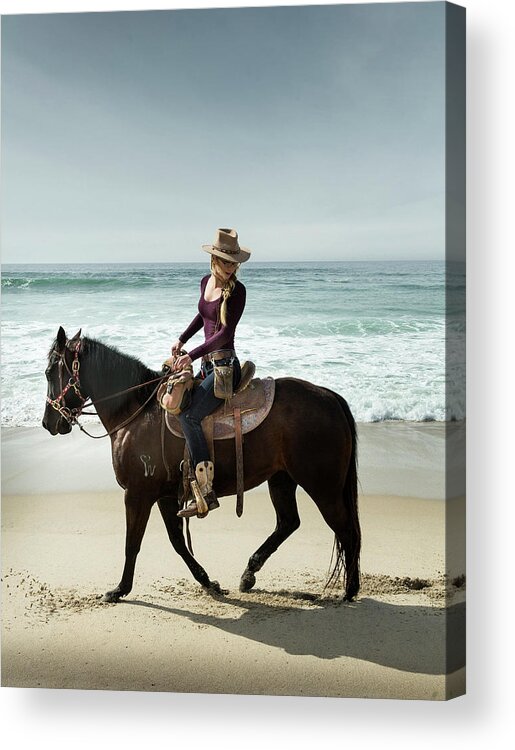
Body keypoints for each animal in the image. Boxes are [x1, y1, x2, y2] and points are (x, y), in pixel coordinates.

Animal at [42, 328, 360, 604]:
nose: (48, 422)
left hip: (322, 485)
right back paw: (249, 574)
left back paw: (349, 591)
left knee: (346, 529)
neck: (137, 412)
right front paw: (209, 582)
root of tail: (329, 396)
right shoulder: (165, 496)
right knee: (288, 522)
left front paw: (119, 589)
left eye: (48, 373)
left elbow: (132, 543)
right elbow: (177, 542)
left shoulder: (137, 494)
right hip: (282, 478)